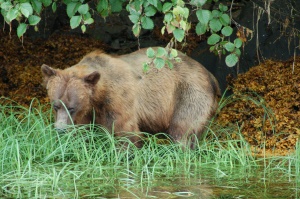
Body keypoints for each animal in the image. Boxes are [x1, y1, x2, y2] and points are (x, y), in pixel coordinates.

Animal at [41, 47, 220, 148]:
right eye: (55, 105)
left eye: (71, 107)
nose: (60, 129)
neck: (97, 96)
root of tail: (210, 75)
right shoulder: (88, 111)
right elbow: (82, 133)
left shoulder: (119, 99)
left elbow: (125, 132)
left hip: (188, 93)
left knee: (183, 130)